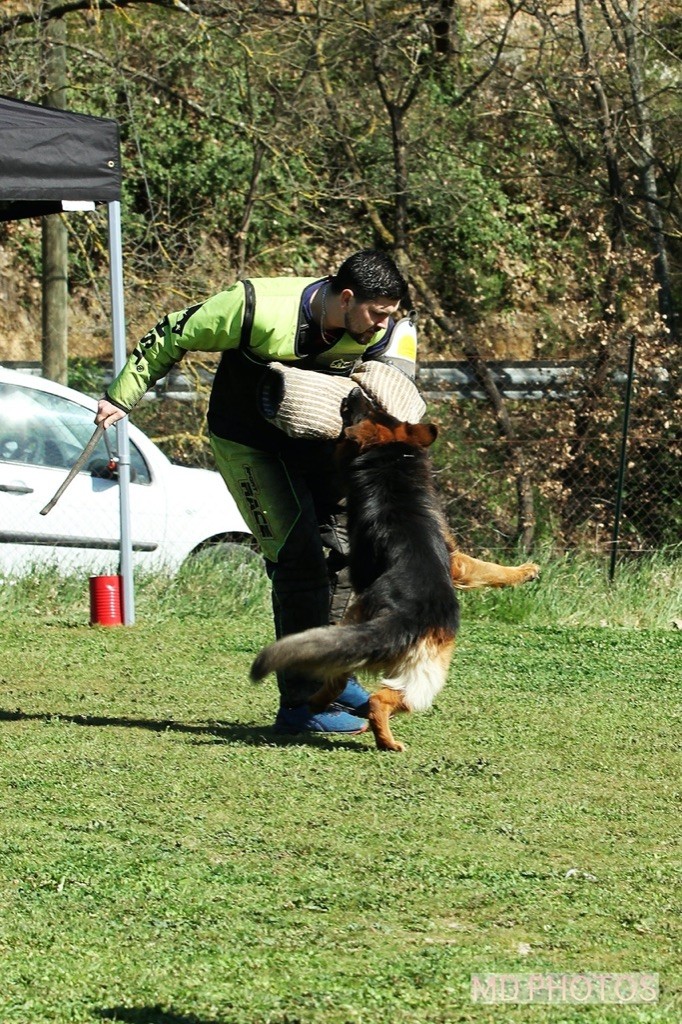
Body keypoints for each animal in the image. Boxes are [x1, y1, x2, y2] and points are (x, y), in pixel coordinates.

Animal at [251, 389, 539, 751]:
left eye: (371, 407)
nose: (355, 390)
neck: (391, 466)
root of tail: (408, 614)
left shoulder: (454, 560)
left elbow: (488, 568)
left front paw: (524, 571)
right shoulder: (456, 560)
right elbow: (485, 568)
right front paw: (524, 571)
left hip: (388, 650)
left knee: (364, 690)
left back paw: (341, 717)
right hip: (425, 670)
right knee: (376, 696)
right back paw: (368, 730)